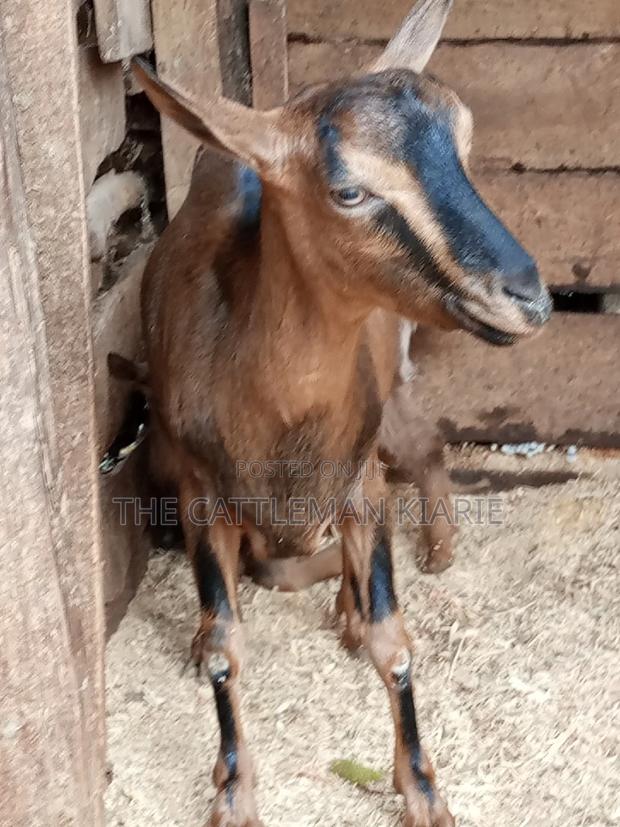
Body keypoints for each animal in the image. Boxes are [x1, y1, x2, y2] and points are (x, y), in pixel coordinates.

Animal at [129, 0, 551, 822]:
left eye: (463, 144)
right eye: (349, 190)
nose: (527, 296)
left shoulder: (358, 479)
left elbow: (396, 641)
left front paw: (422, 789)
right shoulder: (203, 494)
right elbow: (226, 644)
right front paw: (234, 790)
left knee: (420, 448)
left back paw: (407, 570)